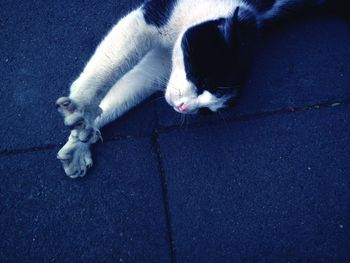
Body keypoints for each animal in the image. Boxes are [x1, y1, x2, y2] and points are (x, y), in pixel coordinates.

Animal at [56, 0, 332, 179]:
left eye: (205, 110)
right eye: (201, 81)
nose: (183, 108)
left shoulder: (160, 65)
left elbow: (126, 90)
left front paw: (81, 138)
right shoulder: (152, 20)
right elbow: (111, 62)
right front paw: (83, 107)